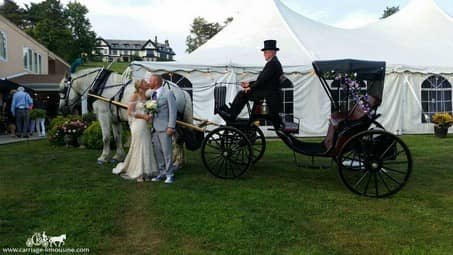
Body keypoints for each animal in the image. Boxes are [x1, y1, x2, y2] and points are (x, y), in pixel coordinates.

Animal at [58, 66, 192, 165]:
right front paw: (118, 156)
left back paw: (176, 162)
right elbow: (117, 137)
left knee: (177, 139)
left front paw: (103, 157)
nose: (61, 110)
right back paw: (179, 161)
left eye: (63, 89)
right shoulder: (114, 119)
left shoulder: (103, 115)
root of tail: (181, 91)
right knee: (180, 139)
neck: (100, 86)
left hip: (172, 121)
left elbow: (106, 138)